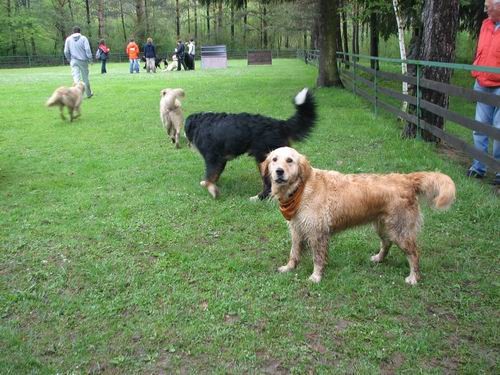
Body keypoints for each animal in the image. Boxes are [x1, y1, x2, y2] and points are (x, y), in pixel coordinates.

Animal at [184, 88, 316, 200]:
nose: (187, 144)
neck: (200, 123)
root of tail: (280, 124)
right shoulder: (221, 160)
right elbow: (213, 175)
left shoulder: (213, 158)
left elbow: (209, 176)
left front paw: (212, 190)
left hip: (264, 160)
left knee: (269, 184)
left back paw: (258, 198)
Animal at [266, 147, 458, 284]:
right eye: (274, 159)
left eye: (290, 160)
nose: (279, 171)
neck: (302, 188)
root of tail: (406, 178)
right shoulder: (296, 229)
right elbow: (294, 252)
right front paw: (289, 268)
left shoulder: (318, 233)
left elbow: (318, 258)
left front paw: (316, 277)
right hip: (383, 226)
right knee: (386, 243)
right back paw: (379, 258)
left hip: (400, 231)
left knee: (414, 253)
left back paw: (413, 278)